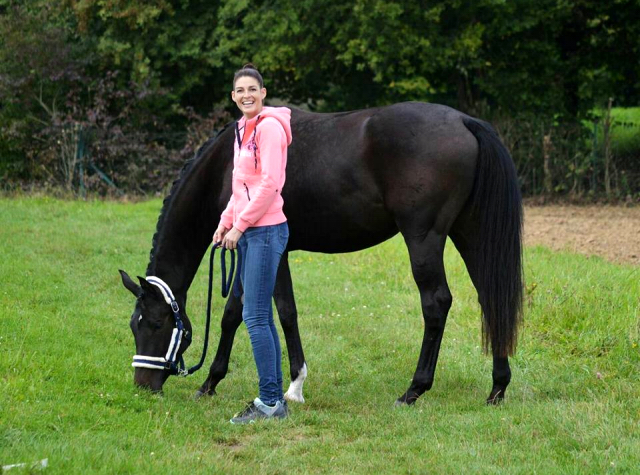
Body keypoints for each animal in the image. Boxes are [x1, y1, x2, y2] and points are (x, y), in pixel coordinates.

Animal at [117, 102, 524, 408]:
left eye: (156, 324)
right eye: (134, 325)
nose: (143, 384)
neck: (225, 167)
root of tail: (464, 121)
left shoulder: (266, 251)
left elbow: (271, 312)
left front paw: (287, 386)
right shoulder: (256, 251)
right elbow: (247, 312)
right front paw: (217, 382)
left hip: (424, 238)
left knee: (436, 302)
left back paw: (414, 389)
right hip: (468, 233)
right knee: (490, 297)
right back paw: (498, 387)